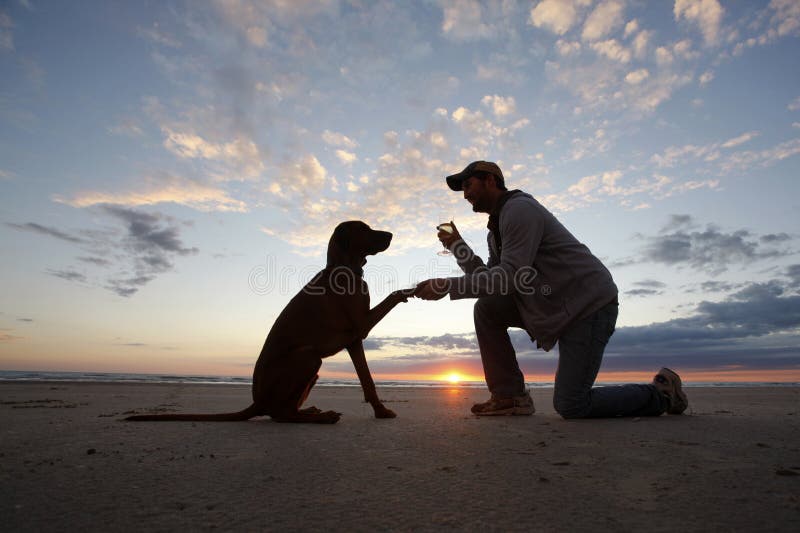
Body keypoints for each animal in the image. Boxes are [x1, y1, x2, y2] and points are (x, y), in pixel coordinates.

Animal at [126, 218, 412, 422]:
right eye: (364, 228)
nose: (390, 235)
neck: (344, 269)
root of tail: (257, 402)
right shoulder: (361, 328)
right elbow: (393, 294)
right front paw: (411, 290)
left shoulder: (353, 341)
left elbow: (367, 380)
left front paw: (380, 411)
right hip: (308, 357)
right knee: (281, 415)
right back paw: (321, 418)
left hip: (311, 370)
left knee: (283, 411)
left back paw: (310, 412)